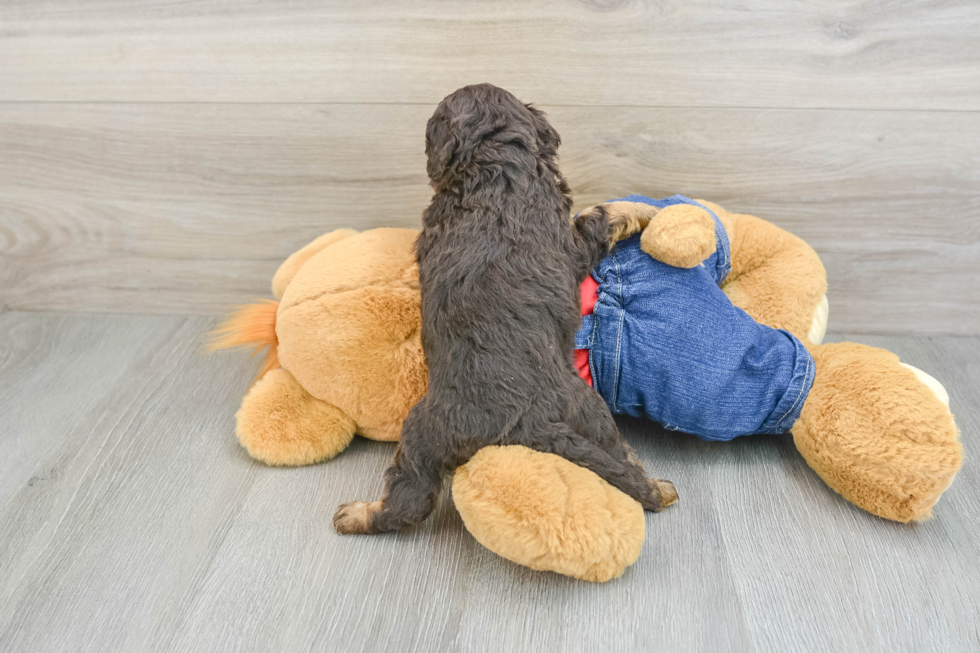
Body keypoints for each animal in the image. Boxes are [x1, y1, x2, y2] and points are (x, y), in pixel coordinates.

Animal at [334, 84, 676, 536]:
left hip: (423, 433)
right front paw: (652, 210)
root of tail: (520, 421)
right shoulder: (572, 244)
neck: (496, 173)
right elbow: (599, 212)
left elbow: (600, 211)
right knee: (621, 460)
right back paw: (659, 488)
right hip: (591, 415)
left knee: (410, 499)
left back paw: (357, 514)